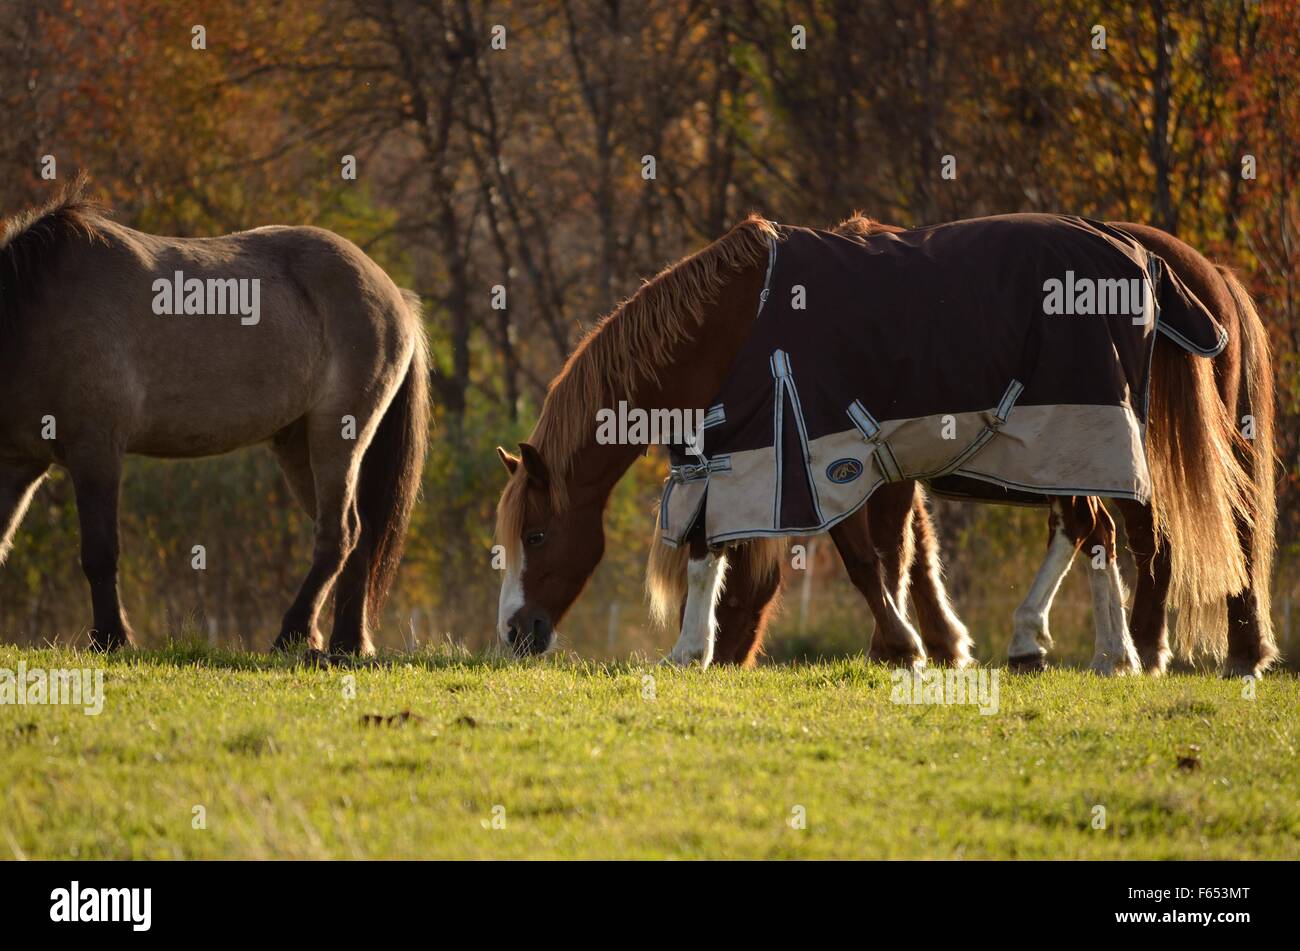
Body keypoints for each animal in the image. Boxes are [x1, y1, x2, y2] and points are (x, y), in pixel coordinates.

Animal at [0, 177, 429, 654]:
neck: (36, 314)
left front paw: (113, 638)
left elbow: (99, 551)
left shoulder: (95, 452)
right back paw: (347, 642)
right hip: (299, 446)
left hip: (337, 436)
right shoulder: (19, 463)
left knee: (341, 535)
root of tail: (395, 296)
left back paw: (295, 632)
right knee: (359, 535)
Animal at [494, 213, 1270, 680]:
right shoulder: (746, 453)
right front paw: (693, 649)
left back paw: (1133, 651)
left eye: (536, 535)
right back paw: (1084, 646)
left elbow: (867, 558)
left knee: (1127, 532)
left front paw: (903, 647)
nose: (514, 633)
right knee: (1096, 528)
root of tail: (1147, 259)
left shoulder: (821, 457)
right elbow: (716, 548)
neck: (739, 320)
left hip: (1089, 433)